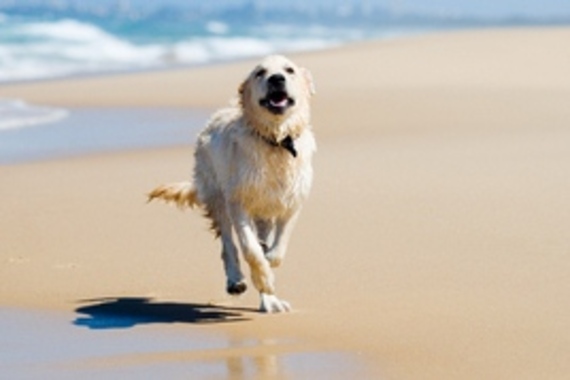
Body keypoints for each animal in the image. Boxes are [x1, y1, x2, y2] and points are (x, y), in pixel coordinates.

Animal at [148, 55, 316, 312]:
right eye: (260, 72)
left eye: (290, 70)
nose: (277, 78)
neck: (275, 140)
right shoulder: (239, 202)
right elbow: (251, 249)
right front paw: (263, 278)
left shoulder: (291, 201)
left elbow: (278, 248)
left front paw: (269, 270)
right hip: (217, 195)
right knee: (228, 243)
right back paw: (236, 279)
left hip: (262, 213)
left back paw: (270, 301)